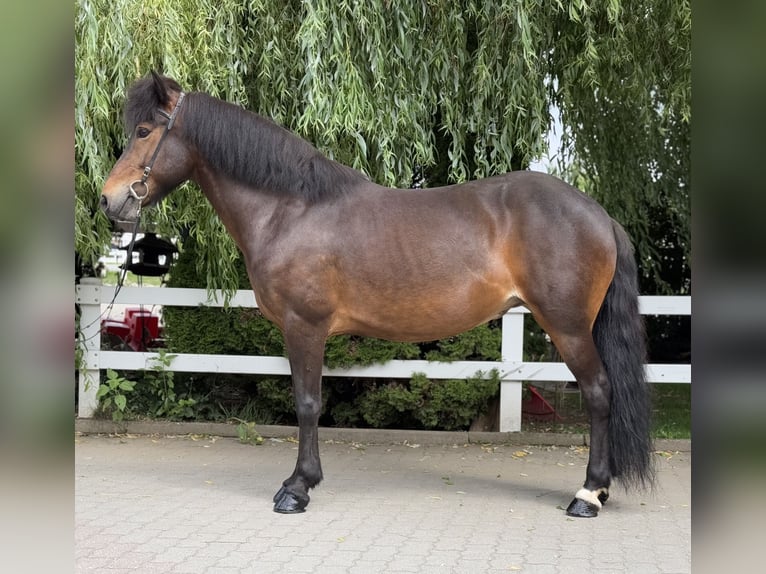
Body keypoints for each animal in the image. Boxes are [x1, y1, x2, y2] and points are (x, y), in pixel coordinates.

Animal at [100, 72, 654, 517]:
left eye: (144, 131)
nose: (108, 201)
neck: (290, 209)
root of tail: (599, 214)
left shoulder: (305, 327)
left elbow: (306, 402)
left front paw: (297, 489)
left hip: (567, 326)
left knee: (599, 392)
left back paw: (588, 495)